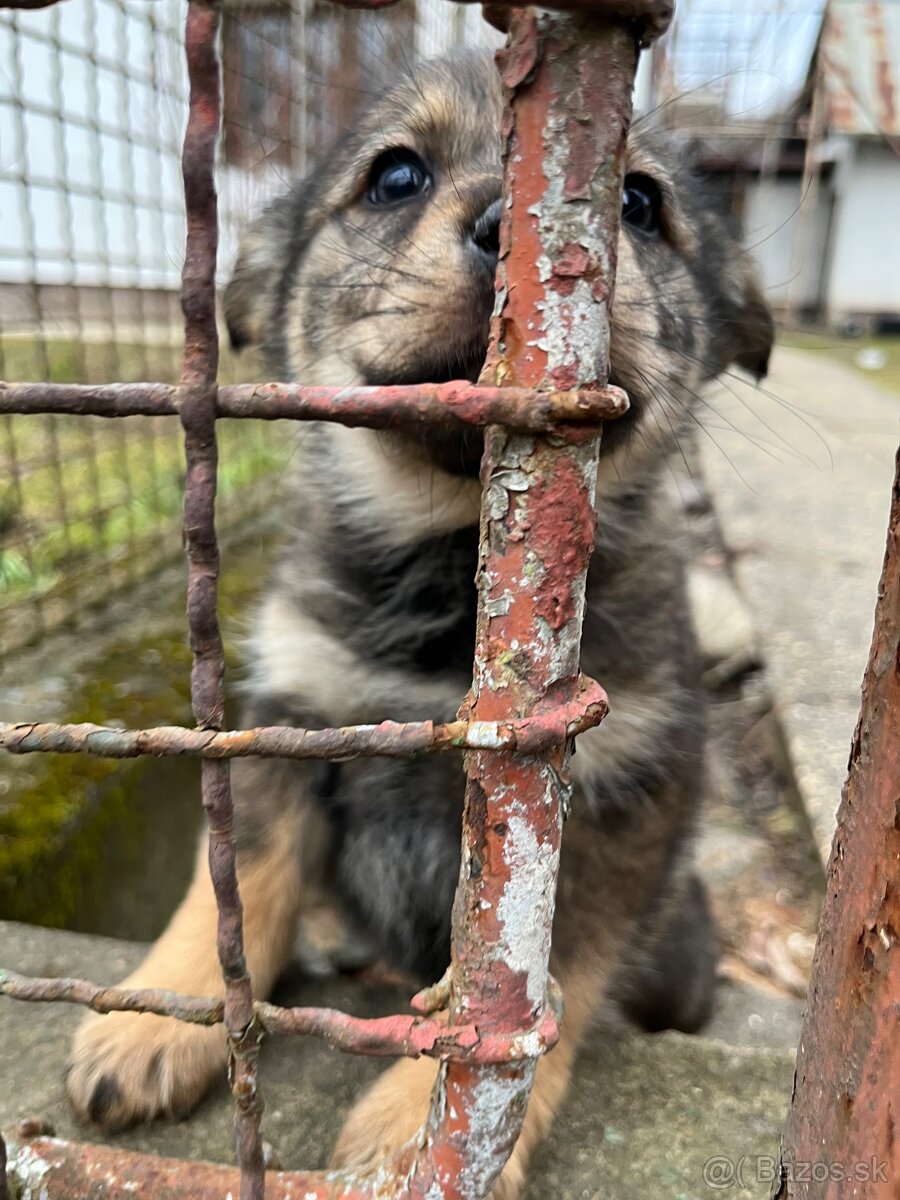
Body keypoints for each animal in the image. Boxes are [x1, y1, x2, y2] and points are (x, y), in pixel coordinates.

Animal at [70, 49, 777, 1200]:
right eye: (394, 177)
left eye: (639, 202)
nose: (505, 230)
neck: (454, 582)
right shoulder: (287, 723)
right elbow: (229, 890)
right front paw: (157, 1016)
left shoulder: (620, 797)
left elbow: (535, 978)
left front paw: (423, 1126)